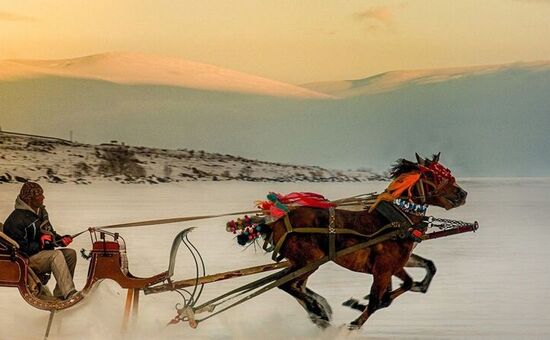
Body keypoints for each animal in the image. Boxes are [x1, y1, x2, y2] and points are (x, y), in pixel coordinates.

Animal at [270, 154, 468, 330]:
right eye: (431, 175)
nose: (462, 193)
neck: (395, 223)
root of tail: (275, 223)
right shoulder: (383, 269)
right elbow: (376, 301)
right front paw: (353, 323)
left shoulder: (396, 265)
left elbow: (420, 274)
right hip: (308, 261)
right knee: (285, 284)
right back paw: (318, 311)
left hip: (302, 263)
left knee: (295, 285)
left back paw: (320, 311)